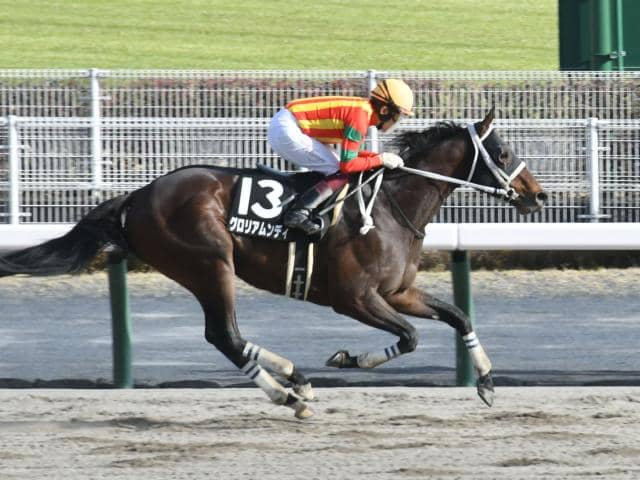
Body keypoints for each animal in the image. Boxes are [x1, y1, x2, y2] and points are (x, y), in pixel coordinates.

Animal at [0, 109, 546, 419]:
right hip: (209, 263)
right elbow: (410, 338)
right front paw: (347, 359)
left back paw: (292, 376)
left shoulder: (398, 292)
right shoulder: (354, 299)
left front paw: (487, 381)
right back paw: (288, 395)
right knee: (224, 335)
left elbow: (458, 316)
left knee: (230, 337)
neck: (393, 206)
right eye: (502, 151)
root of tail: (137, 196)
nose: (538, 196)